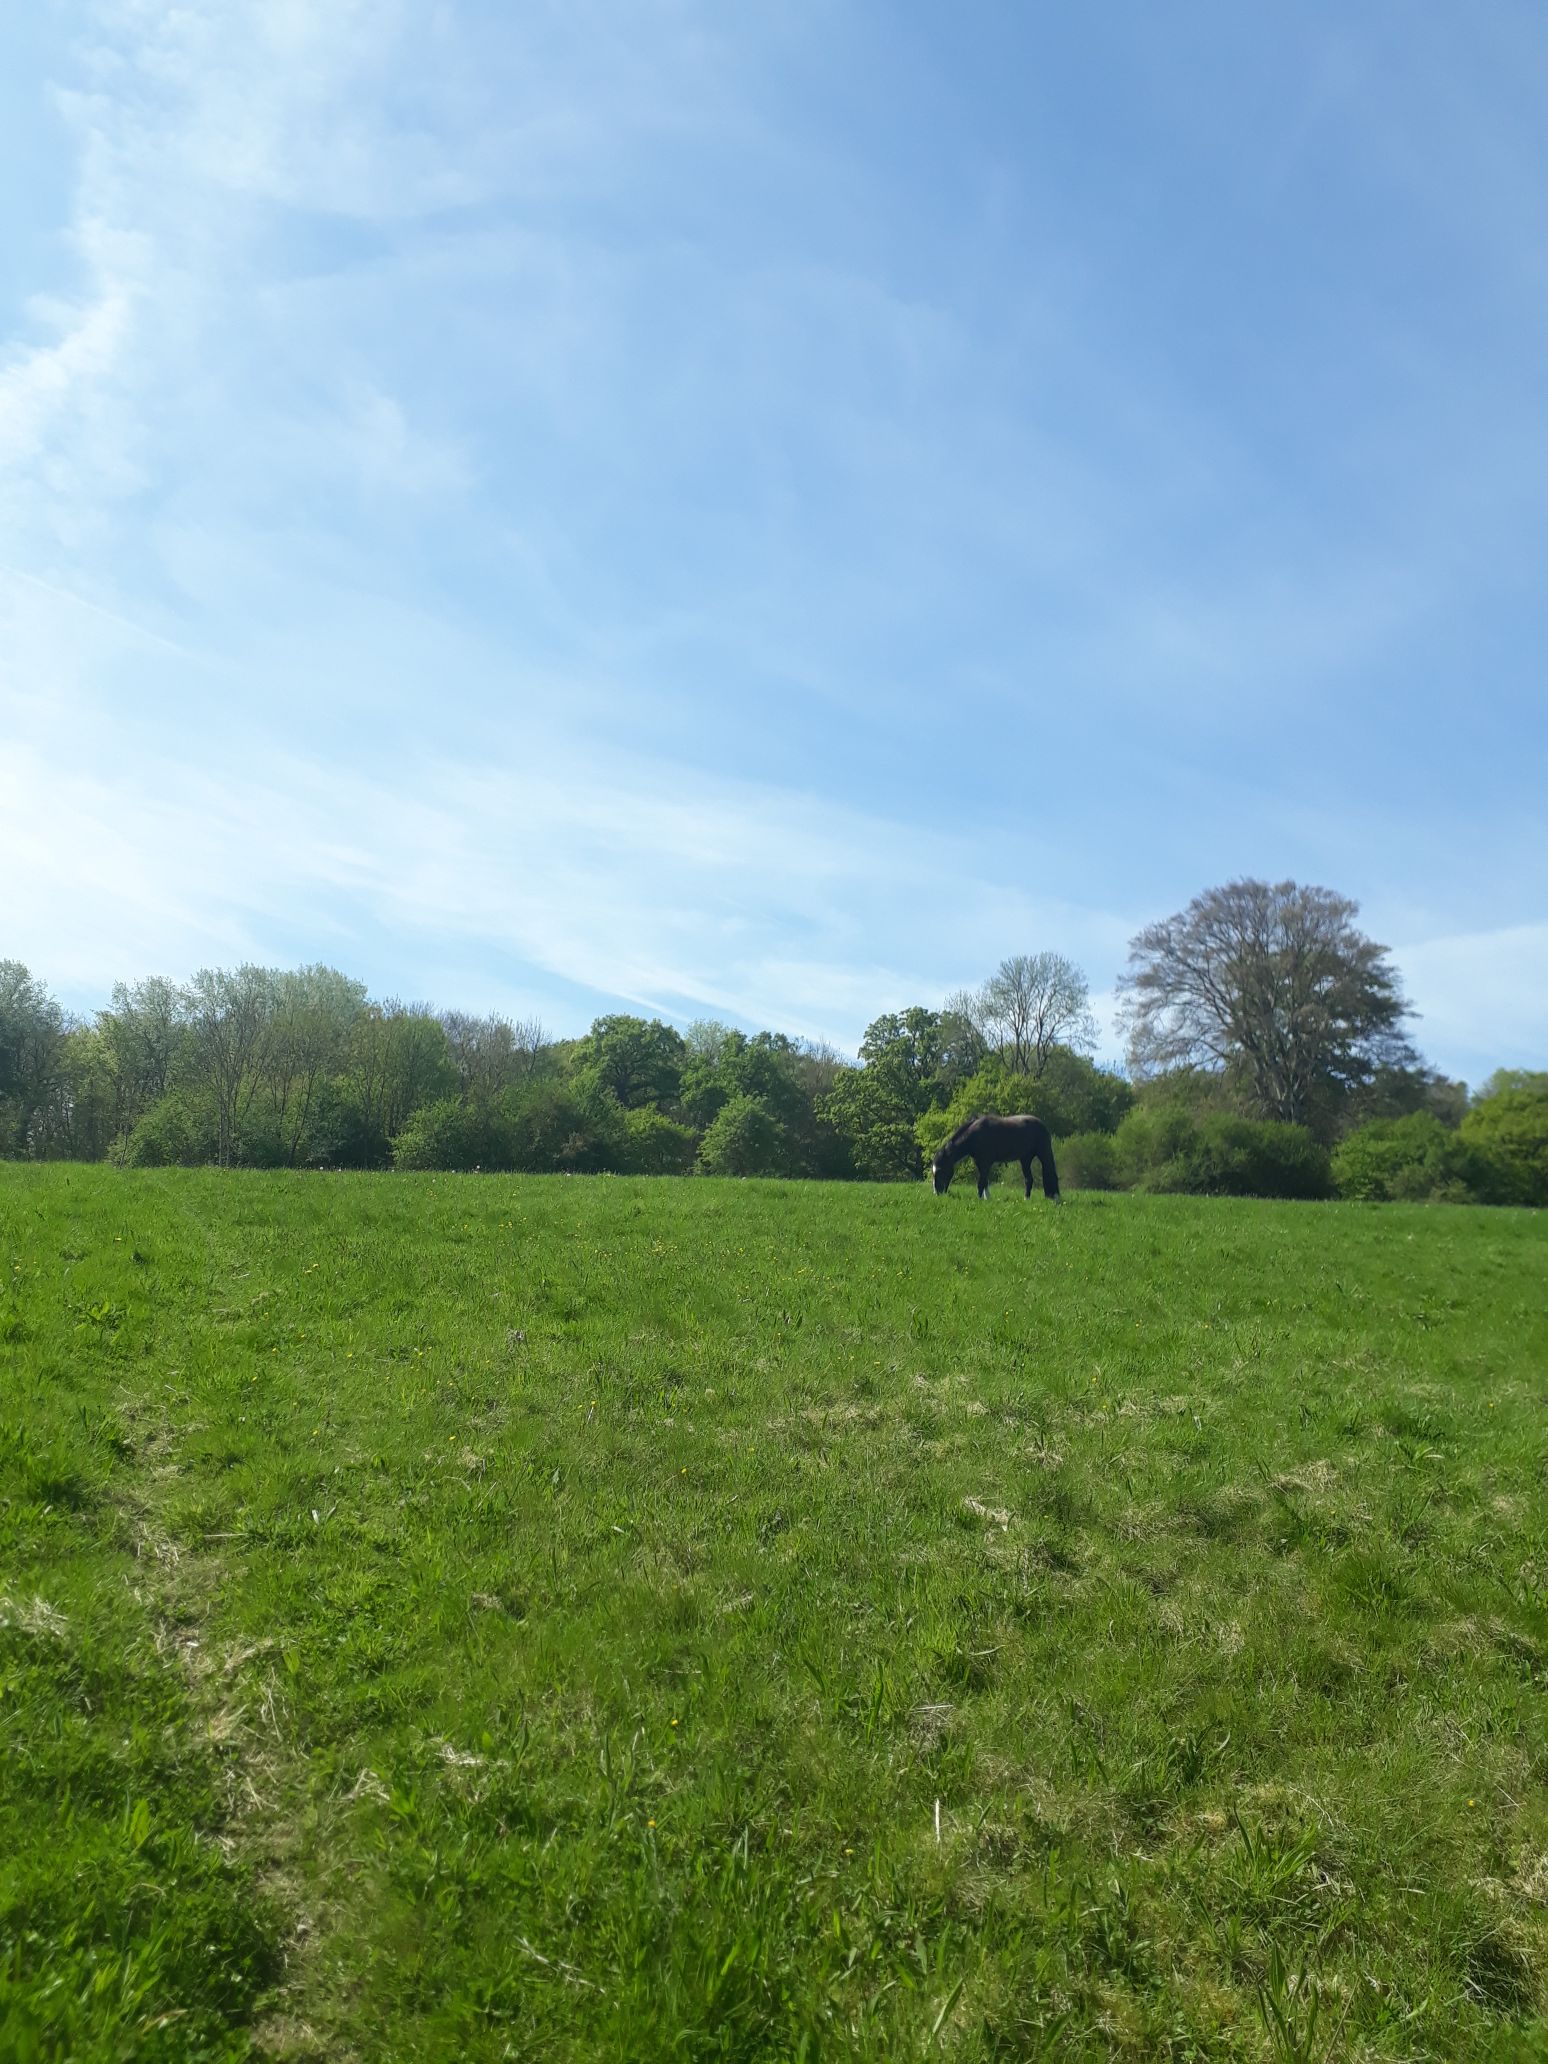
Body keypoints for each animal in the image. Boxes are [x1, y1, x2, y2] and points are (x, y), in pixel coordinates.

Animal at [930, 1114, 1061, 1202]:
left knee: (1050, 1173)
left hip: (1044, 1153)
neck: (975, 1135)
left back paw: (1055, 1198)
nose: (937, 1193)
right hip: (1025, 1159)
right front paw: (987, 1198)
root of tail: (1042, 1125)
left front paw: (979, 1199)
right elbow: (985, 1182)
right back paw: (1026, 1199)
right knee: (1029, 1179)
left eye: (941, 1171)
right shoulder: (979, 1163)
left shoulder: (985, 1163)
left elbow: (981, 1182)